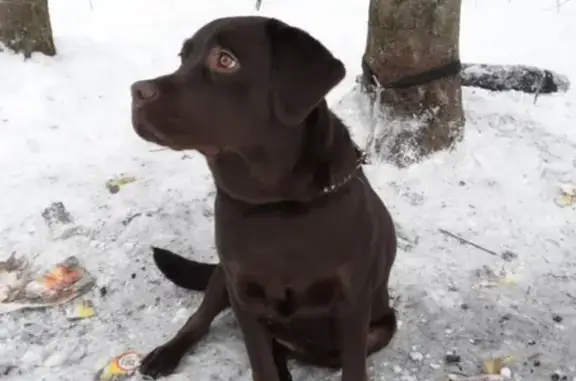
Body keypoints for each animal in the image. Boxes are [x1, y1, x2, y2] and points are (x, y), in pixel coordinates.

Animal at [130, 16, 398, 380]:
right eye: (183, 57)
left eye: (225, 60)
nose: (137, 90)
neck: (274, 205)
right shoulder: (243, 295)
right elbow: (261, 363)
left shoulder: (352, 303)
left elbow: (353, 367)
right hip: (221, 279)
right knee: (200, 319)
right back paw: (166, 354)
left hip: (381, 327)